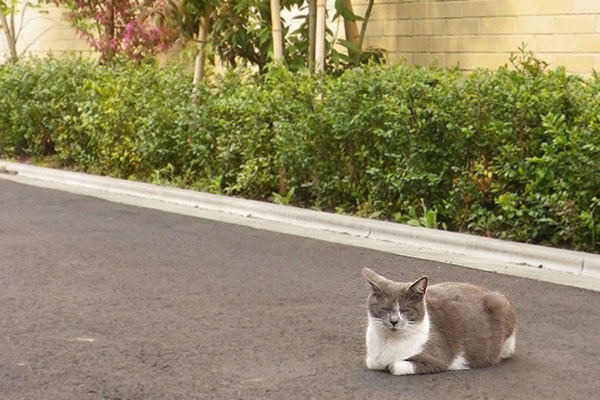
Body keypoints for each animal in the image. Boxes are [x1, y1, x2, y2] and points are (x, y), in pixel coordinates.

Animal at [360, 268, 516, 376]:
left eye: (405, 310)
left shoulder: (437, 358)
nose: (394, 321)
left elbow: (393, 365)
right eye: (385, 309)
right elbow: (373, 362)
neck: (387, 341)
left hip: (499, 306)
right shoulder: (372, 359)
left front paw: (390, 364)